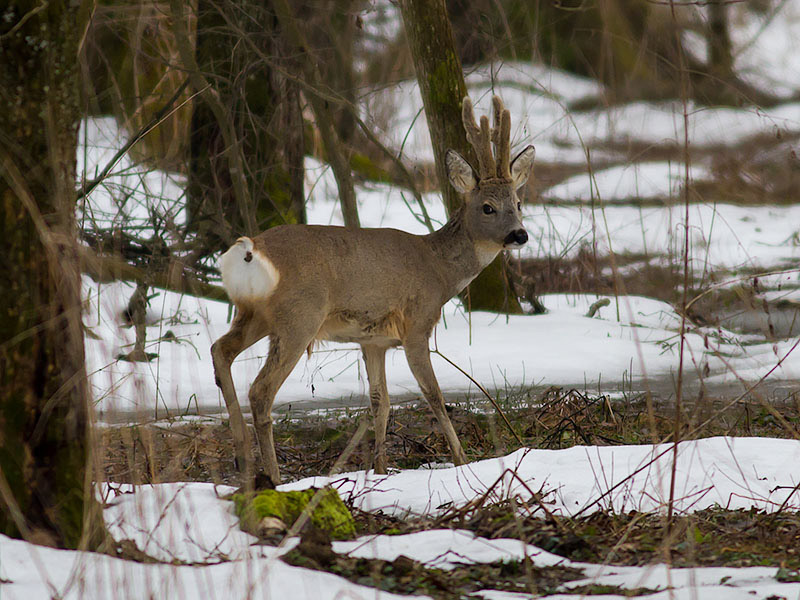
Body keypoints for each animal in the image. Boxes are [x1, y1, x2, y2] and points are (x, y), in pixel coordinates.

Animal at [212, 96, 536, 486]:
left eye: (518, 203)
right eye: (488, 207)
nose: (519, 235)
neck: (439, 270)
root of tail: (250, 250)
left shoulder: (373, 341)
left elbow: (380, 401)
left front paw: (380, 469)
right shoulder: (416, 325)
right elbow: (434, 395)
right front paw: (461, 459)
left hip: (255, 313)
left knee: (221, 350)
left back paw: (242, 459)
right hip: (299, 316)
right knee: (260, 390)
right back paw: (274, 477)